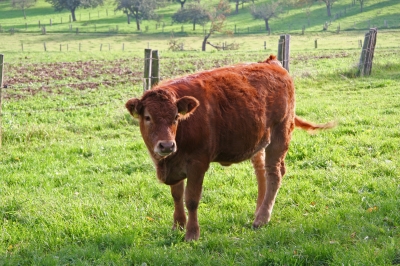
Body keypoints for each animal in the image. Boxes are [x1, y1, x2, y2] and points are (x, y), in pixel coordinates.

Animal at [126, 55, 334, 241]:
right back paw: (258, 211)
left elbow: (191, 199)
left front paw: (192, 234)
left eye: (176, 117)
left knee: (275, 173)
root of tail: (272, 63)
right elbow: (176, 195)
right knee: (261, 173)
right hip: (259, 141)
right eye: (148, 117)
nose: (167, 145)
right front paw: (177, 226)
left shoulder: (197, 163)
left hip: (280, 134)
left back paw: (262, 218)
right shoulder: (174, 162)